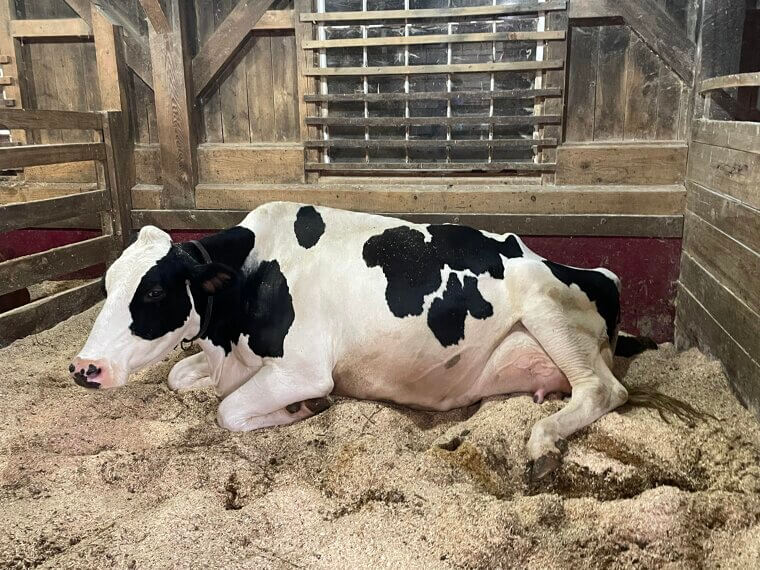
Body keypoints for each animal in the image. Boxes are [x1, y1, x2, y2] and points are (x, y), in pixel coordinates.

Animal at [69, 202, 691, 479]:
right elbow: (181, 376)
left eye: (153, 292)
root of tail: (598, 272)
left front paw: (301, 410)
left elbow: (229, 411)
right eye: (105, 285)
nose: (84, 368)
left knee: (603, 391)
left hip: (544, 307)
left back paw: (540, 446)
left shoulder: (302, 368)